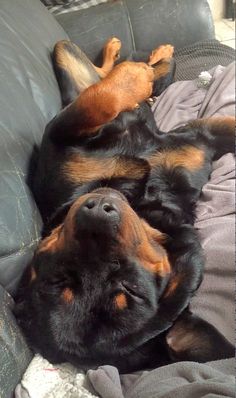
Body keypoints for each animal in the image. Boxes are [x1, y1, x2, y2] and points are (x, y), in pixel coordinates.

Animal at [14, 37, 234, 374]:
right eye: (59, 280)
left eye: (129, 291)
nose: (97, 212)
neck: (140, 195)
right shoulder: (61, 134)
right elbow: (101, 100)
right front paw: (137, 77)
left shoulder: (202, 140)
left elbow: (102, 98)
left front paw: (137, 77)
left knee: (104, 77)